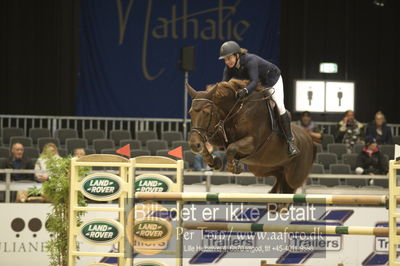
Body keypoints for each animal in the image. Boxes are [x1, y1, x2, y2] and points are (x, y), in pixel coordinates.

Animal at [187, 79, 316, 195]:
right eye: (190, 113)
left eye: (207, 112)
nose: (193, 145)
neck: (236, 110)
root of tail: (309, 137)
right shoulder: (218, 136)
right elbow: (207, 147)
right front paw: (214, 162)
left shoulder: (253, 143)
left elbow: (231, 148)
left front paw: (234, 167)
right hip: (264, 168)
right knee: (277, 186)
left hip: (293, 178)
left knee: (289, 189)